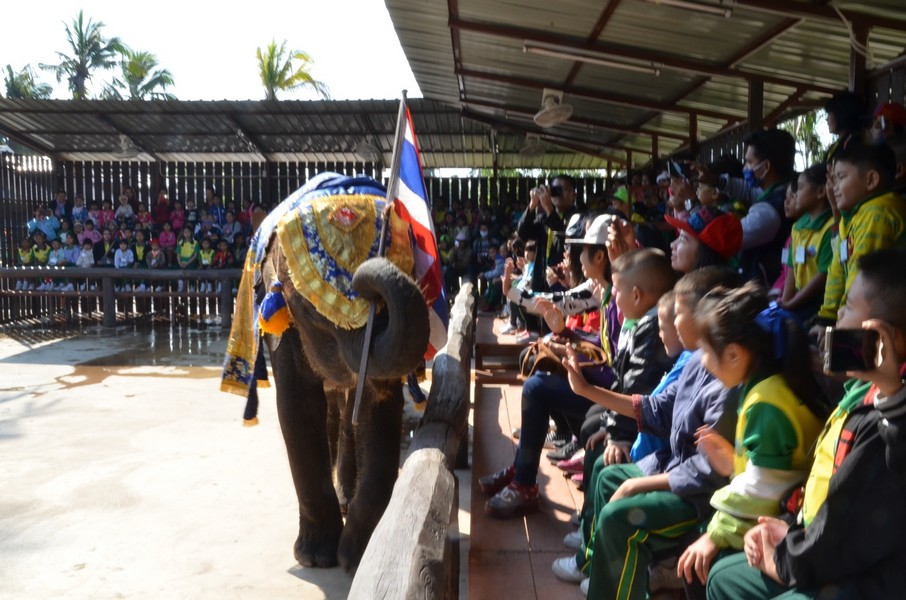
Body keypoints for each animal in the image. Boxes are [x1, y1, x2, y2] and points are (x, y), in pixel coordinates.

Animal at [222, 173, 430, 571]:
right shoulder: (285, 324)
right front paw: (317, 558)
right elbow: (299, 406)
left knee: (347, 407)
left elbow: (378, 404)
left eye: (411, 269)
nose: (368, 280)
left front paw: (356, 557)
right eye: (312, 310)